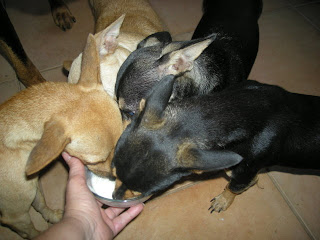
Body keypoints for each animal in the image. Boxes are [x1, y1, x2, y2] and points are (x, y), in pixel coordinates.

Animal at [0, 34, 122, 239]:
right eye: (97, 161)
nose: (115, 177)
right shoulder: (15, 215)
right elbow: (30, 230)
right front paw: (39, 233)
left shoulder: (31, 187)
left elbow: (40, 202)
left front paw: (52, 216)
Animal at [112, 76, 320, 213]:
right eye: (113, 173)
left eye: (141, 192)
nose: (114, 198)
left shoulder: (243, 172)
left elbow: (235, 187)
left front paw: (223, 200)